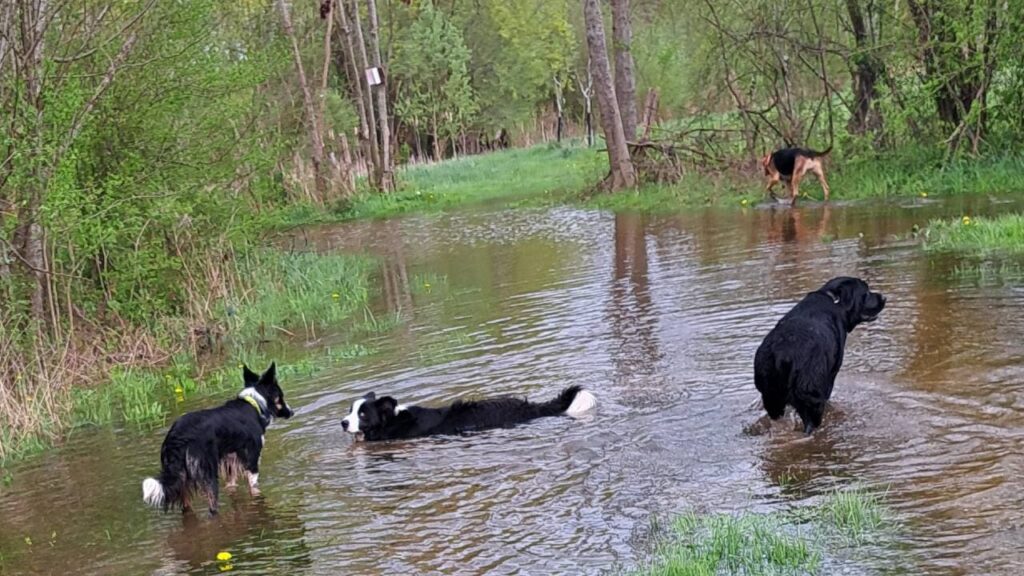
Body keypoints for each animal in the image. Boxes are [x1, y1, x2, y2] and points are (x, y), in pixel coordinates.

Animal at [140, 360, 292, 512]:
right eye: (281, 397)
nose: (292, 412)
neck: (255, 403)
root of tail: (177, 436)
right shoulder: (252, 460)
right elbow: (254, 488)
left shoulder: (230, 461)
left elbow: (232, 487)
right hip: (208, 473)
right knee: (212, 508)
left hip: (183, 479)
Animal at [753, 276, 888, 432]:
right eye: (866, 292)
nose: (884, 297)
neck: (835, 300)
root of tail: (782, 355)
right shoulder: (830, 376)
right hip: (810, 395)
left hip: (771, 395)